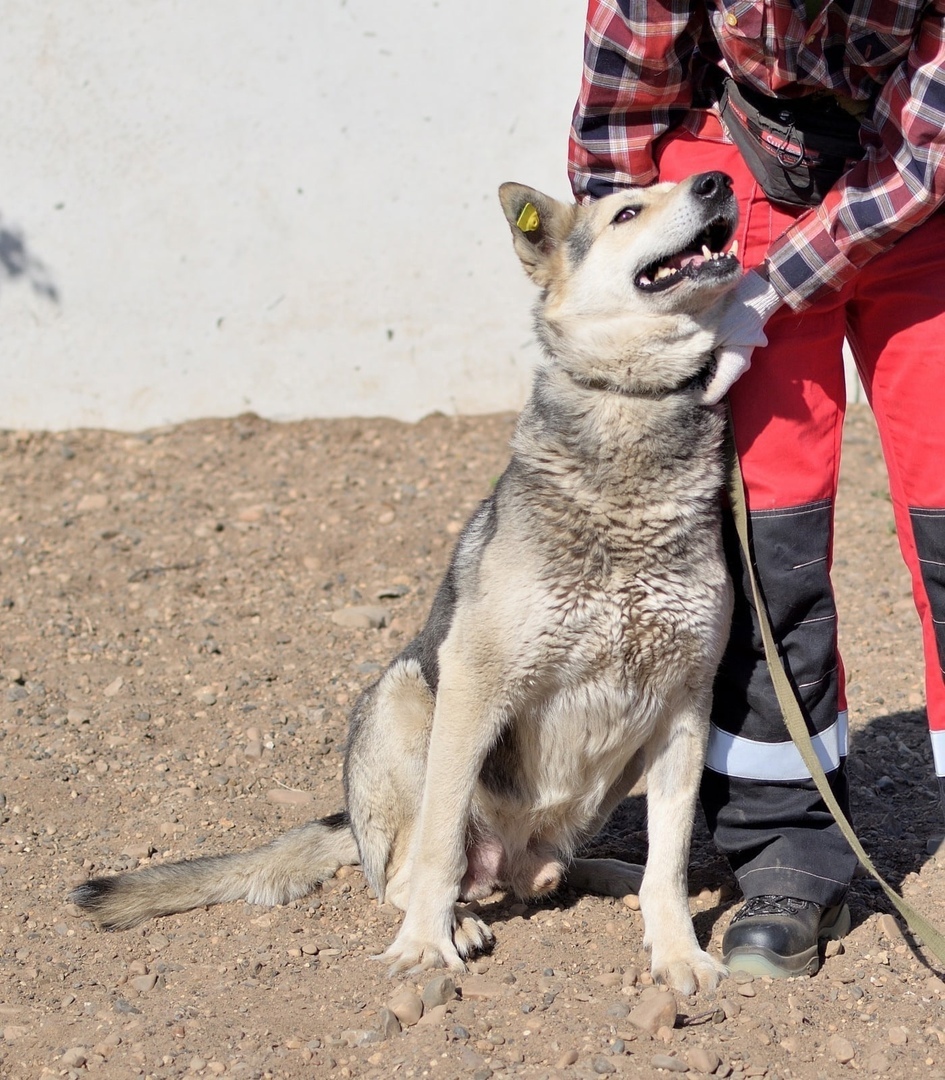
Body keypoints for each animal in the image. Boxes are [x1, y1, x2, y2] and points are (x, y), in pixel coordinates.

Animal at [70, 170, 743, 993]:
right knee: (409, 867)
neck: (632, 418)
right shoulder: (476, 681)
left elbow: (670, 860)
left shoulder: (685, 700)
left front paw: (677, 949)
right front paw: (425, 946)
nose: (717, 180)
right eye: (627, 211)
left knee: (552, 871)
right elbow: (438, 847)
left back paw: (602, 872)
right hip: (403, 699)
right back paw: (458, 917)